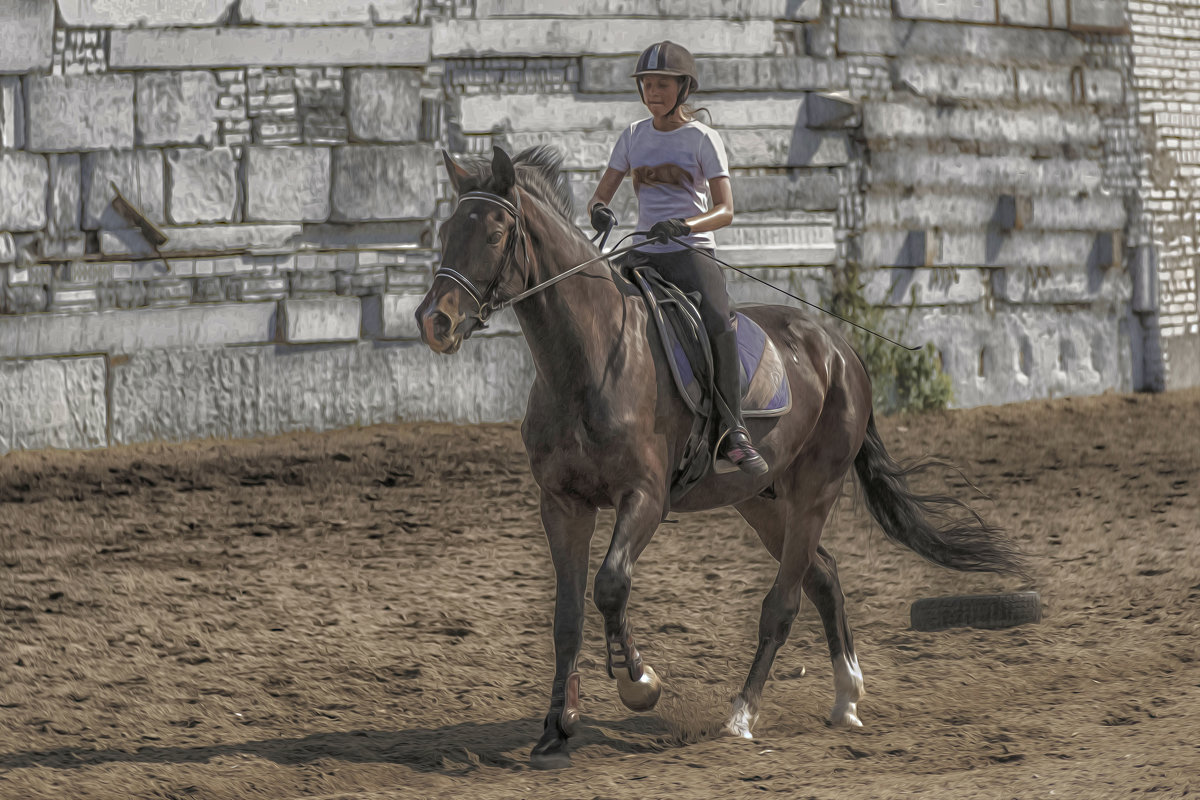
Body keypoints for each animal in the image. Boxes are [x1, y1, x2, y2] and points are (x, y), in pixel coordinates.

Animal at [415, 143, 1022, 767]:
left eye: (493, 234)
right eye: (447, 231)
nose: (435, 321)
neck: (589, 361)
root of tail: (839, 350)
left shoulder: (645, 497)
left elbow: (611, 584)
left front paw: (639, 682)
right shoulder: (562, 502)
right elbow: (567, 616)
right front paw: (557, 728)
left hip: (815, 491)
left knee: (783, 603)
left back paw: (742, 715)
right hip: (759, 500)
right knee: (824, 576)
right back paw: (846, 699)